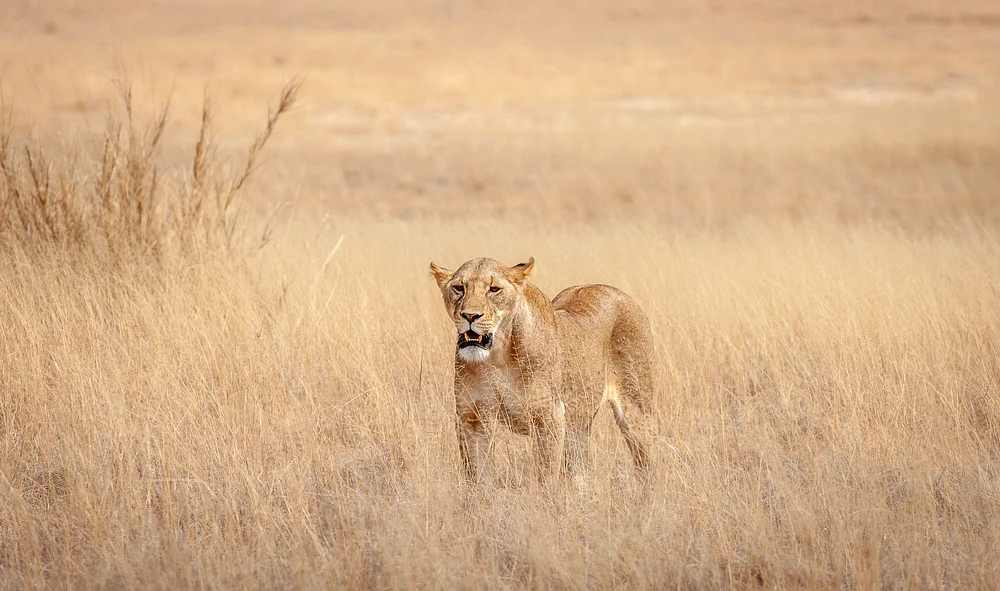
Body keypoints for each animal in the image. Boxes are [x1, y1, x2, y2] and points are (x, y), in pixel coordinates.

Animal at [429, 256, 656, 485]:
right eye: (459, 288)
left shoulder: (548, 416)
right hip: (578, 423)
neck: (497, 358)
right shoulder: (472, 418)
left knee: (646, 461)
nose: (469, 316)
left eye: (494, 289)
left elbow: (546, 477)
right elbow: (479, 478)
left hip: (636, 410)